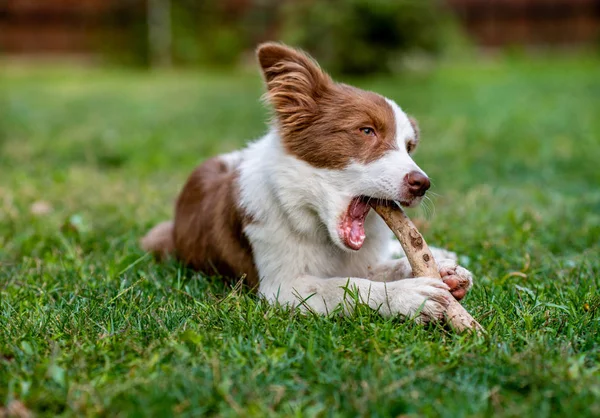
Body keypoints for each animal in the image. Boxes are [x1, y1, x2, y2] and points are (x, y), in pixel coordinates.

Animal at [141, 42, 474, 322]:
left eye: (409, 147)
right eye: (367, 131)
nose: (423, 184)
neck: (314, 222)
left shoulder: (359, 260)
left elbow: (377, 269)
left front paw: (440, 271)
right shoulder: (281, 287)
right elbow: (345, 286)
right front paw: (409, 296)